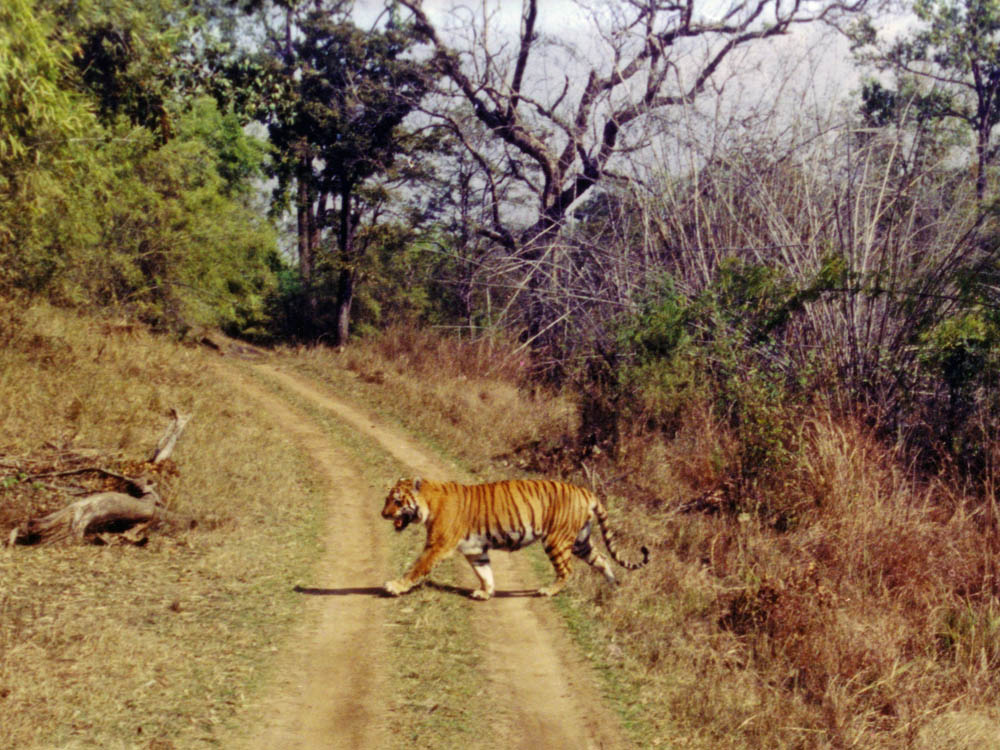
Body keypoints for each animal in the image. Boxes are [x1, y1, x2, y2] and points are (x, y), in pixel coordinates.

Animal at [380, 478, 648, 604]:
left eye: (397, 500)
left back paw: (547, 591)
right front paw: (485, 592)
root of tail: (586, 492)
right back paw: (613, 587)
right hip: (581, 542)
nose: (383, 514)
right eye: (387, 499)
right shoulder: (475, 550)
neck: (428, 503)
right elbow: (485, 572)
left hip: (557, 541)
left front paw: (395, 586)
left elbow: (417, 567)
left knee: (567, 570)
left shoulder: (438, 545)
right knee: (602, 559)